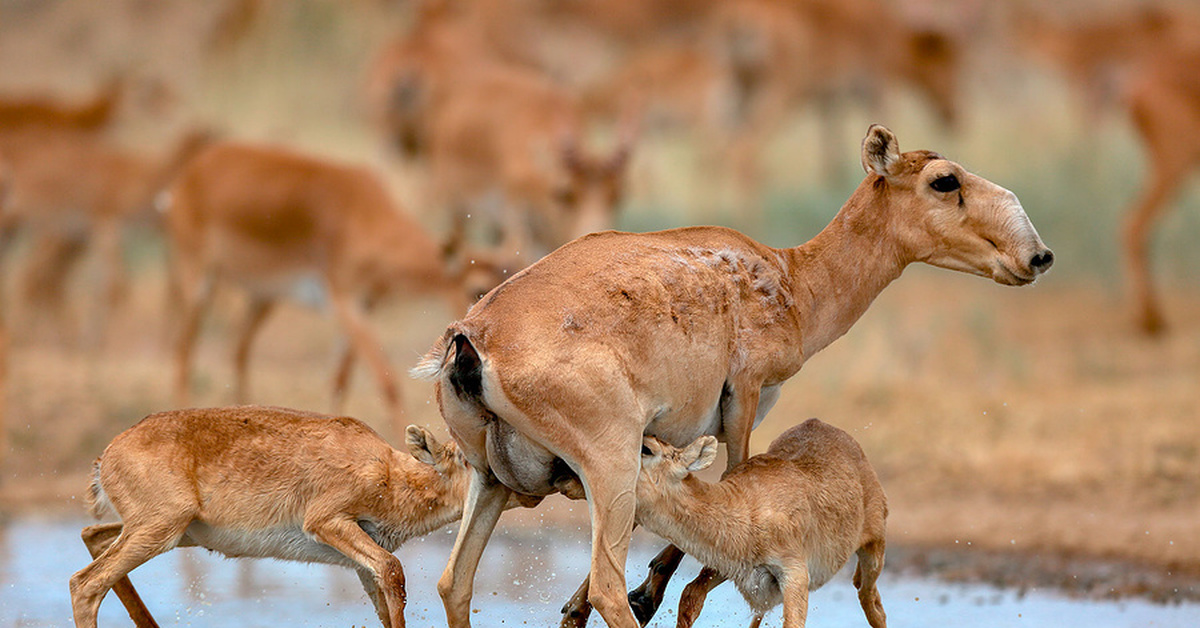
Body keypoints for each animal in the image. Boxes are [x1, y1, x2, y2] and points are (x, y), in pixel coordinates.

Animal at [69, 408, 487, 628]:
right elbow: (394, 571)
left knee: (93, 536)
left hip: (174, 531)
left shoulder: (360, 559)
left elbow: (386, 594)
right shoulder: (325, 521)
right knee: (85, 583)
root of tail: (106, 455)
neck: (390, 472)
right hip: (162, 527)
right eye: (464, 457)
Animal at [166, 142, 504, 437]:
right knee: (184, 350)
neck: (363, 212)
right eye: (476, 289)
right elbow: (387, 381)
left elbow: (340, 379)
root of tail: (193, 171)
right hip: (199, 280)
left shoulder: (365, 306)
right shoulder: (345, 303)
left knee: (237, 350)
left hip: (262, 297)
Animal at [417, 124, 1056, 628]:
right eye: (944, 180)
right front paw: (648, 593)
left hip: (490, 481)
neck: (793, 281)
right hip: (607, 463)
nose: (1038, 256)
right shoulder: (742, 403)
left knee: (455, 582)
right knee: (605, 586)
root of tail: (472, 337)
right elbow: (725, 491)